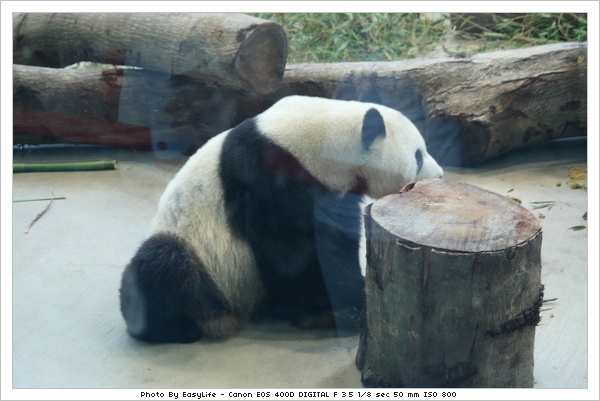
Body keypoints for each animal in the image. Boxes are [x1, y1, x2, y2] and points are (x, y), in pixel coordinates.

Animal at [119, 94, 442, 340]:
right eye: (418, 156)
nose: (439, 175)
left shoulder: (335, 192)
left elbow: (335, 243)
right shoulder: (270, 176)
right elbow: (292, 252)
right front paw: (339, 305)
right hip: (199, 256)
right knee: (163, 263)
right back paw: (178, 328)